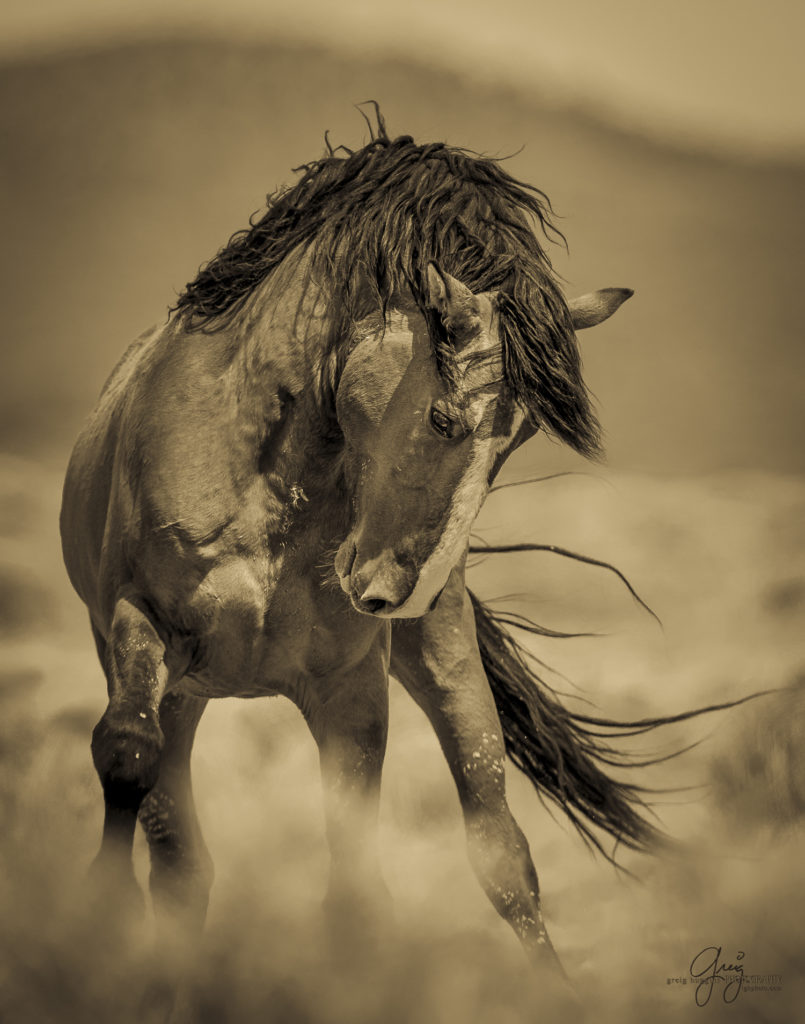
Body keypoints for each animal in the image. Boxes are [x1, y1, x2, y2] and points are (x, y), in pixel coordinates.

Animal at [60, 113, 666, 978]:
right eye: (444, 418)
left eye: (514, 441)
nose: (395, 589)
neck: (267, 481)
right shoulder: (135, 624)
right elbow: (125, 753)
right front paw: (97, 912)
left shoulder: (349, 687)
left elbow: (356, 896)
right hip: (182, 687)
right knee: (178, 861)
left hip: (439, 652)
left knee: (502, 853)